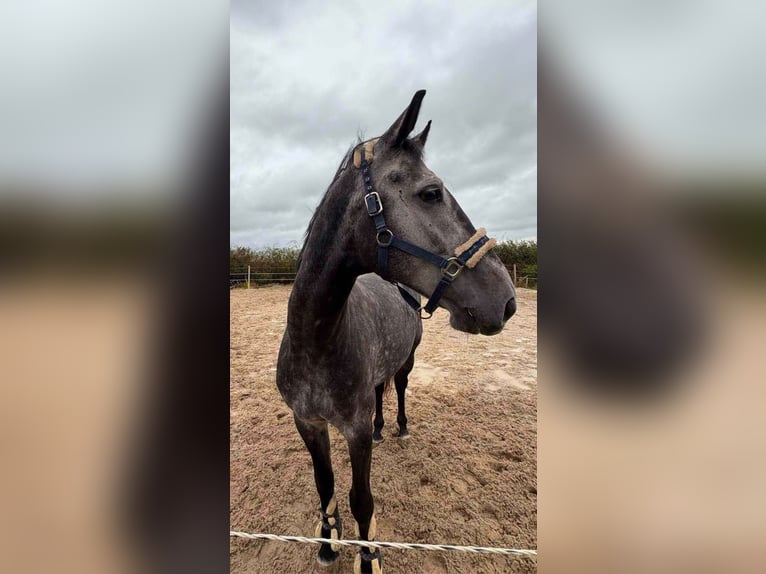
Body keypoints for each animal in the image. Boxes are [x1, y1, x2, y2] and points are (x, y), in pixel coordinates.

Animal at [276, 92, 516, 572]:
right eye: (431, 193)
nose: (507, 301)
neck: (316, 343)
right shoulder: (308, 423)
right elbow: (325, 486)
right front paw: (328, 543)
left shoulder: (353, 430)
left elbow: (361, 499)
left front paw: (368, 556)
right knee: (382, 393)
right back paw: (384, 427)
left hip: (407, 361)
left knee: (400, 388)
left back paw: (400, 428)